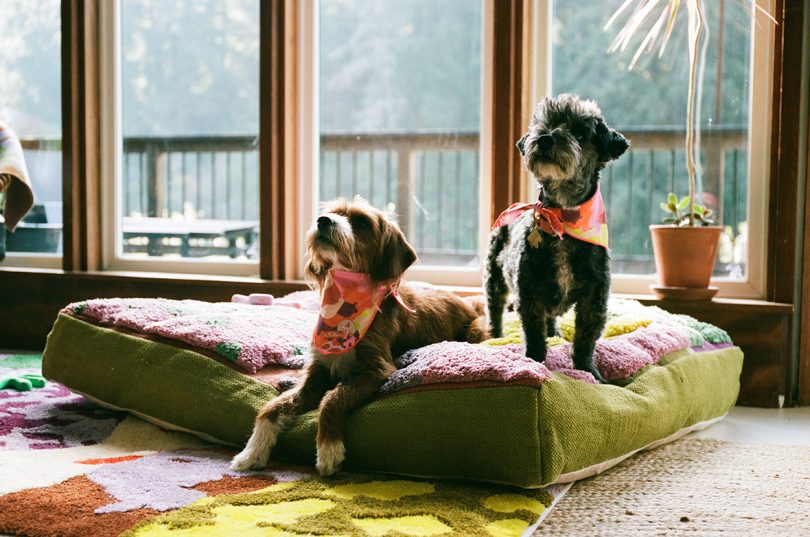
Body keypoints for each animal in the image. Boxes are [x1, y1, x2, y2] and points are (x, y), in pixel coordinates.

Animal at [234, 197, 486, 474]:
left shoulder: (377, 370)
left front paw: (328, 450)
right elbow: (269, 408)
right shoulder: (317, 371)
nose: (323, 221)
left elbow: (332, 398)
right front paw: (251, 452)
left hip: (476, 331)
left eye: (362, 223)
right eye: (331, 212)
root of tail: (469, 303)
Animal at [482, 94, 628, 384]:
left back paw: (555, 334)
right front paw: (535, 362)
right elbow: (534, 334)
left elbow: (585, 339)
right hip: (494, 276)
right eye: (543, 124)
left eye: (580, 132)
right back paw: (496, 336)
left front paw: (588, 371)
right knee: (495, 309)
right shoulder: (529, 292)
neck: (562, 217)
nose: (546, 138)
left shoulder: (594, 297)